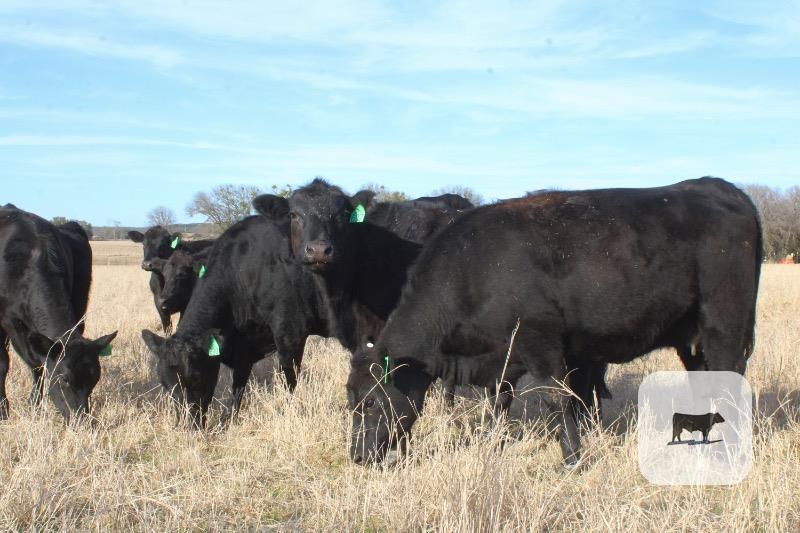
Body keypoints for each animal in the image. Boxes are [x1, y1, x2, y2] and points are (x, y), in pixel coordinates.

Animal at [0, 204, 118, 422]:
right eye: (64, 379)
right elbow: (6, 364)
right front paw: (4, 410)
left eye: (95, 379)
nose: (81, 419)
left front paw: (35, 405)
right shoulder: (7, 322)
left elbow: (39, 364)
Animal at [140, 215, 326, 428]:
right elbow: (238, 386)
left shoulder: (290, 333)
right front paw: (228, 419)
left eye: (196, 377)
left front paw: (287, 414)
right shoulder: (244, 348)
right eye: (165, 385)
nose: (187, 425)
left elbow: (289, 379)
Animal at [345, 177, 762, 467]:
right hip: (691, 338)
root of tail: (719, 187)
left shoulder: (540, 343)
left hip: (725, 327)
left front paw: (573, 459)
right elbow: (499, 402)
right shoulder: (501, 357)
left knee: (730, 382)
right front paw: (494, 444)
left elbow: (557, 399)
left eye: (370, 403)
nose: (357, 457)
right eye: (351, 402)